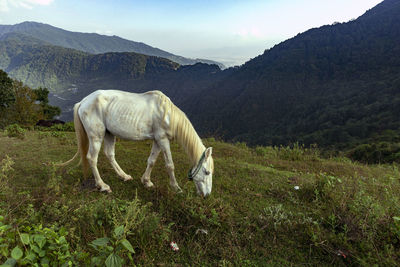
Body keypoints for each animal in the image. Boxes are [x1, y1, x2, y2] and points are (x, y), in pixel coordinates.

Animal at [59, 90, 214, 197]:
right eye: (206, 172)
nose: (206, 195)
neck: (167, 114)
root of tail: (83, 101)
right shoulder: (163, 139)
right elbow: (170, 165)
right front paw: (176, 188)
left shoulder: (157, 140)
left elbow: (151, 161)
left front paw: (147, 182)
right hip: (96, 136)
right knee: (92, 158)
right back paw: (103, 186)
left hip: (109, 134)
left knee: (109, 154)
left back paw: (124, 176)